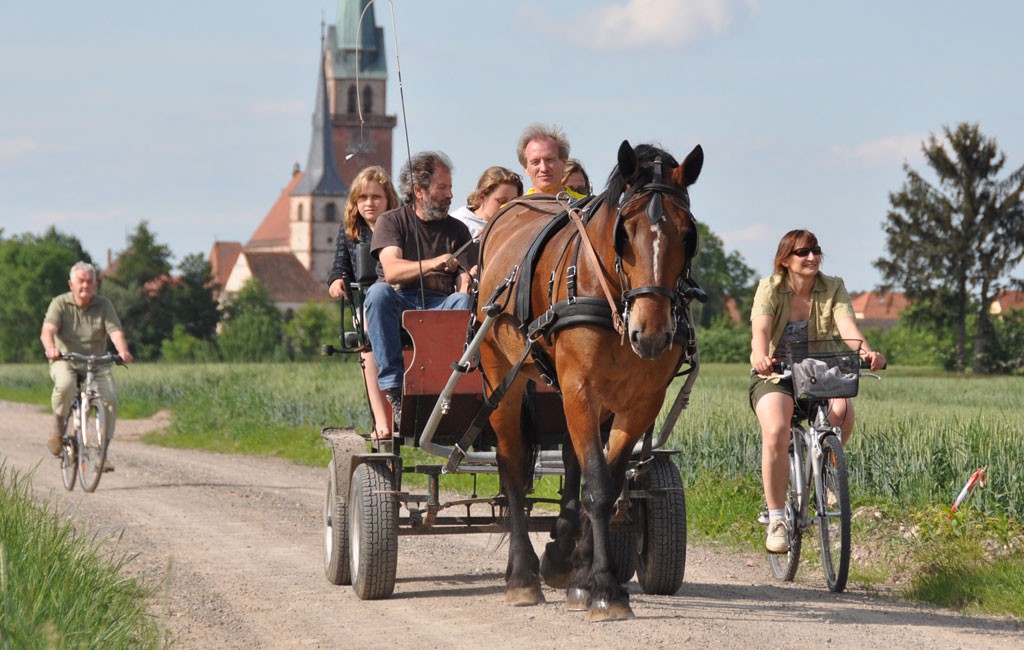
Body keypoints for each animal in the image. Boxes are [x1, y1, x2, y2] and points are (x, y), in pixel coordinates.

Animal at [477, 141, 704, 622]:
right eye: (626, 232)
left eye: (687, 234)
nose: (651, 333)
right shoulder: (579, 387)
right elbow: (598, 486)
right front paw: (603, 588)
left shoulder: (640, 401)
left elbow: (606, 480)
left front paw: (584, 577)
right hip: (499, 374)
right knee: (511, 466)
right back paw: (522, 576)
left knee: (571, 460)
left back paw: (564, 555)